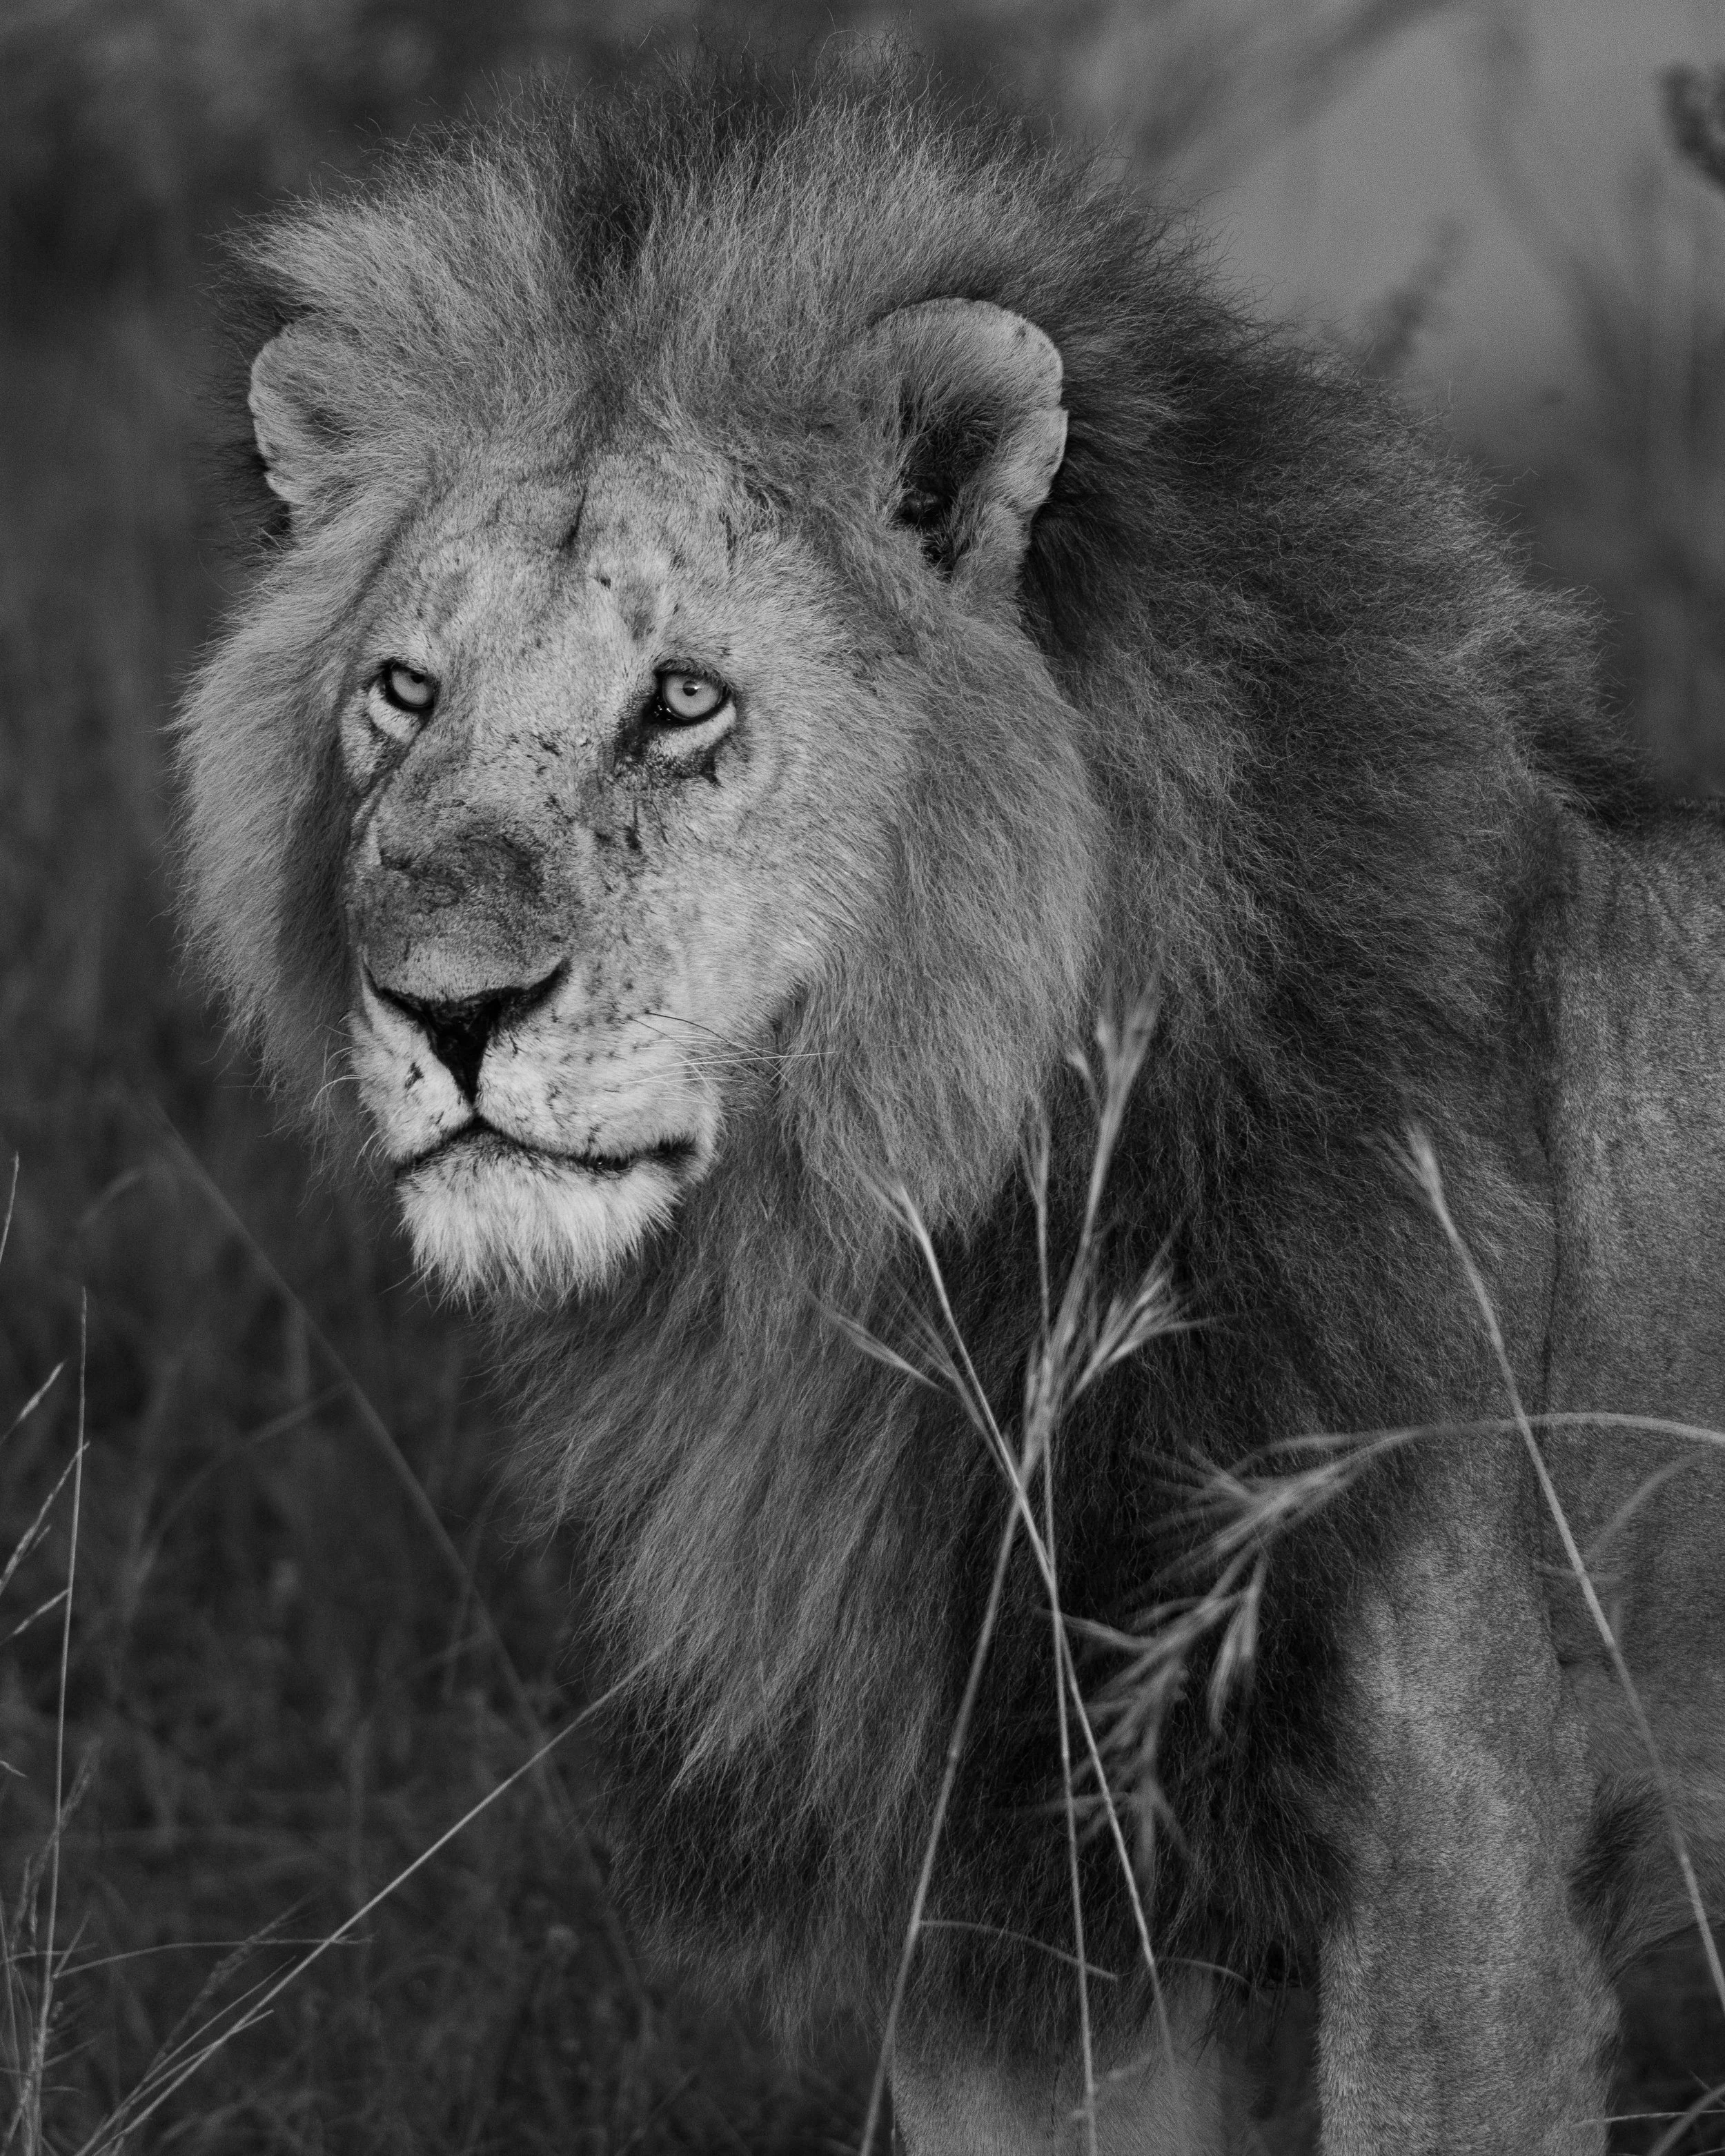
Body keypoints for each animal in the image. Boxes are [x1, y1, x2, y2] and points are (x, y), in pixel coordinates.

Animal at [177, 55, 1725, 2154]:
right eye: (405, 692)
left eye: (683, 701)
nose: (445, 1002)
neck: (899, 1242)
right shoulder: (1007, 1887)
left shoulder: (1453, 1870)